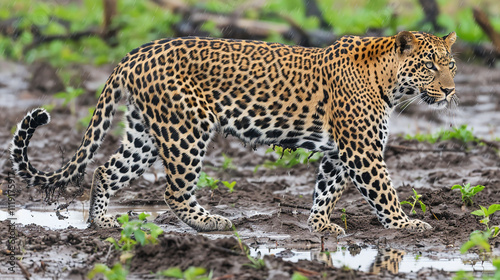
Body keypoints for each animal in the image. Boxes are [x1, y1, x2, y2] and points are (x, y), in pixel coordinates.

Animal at [10, 30, 458, 234]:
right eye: (429, 65)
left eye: (451, 63)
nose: (452, 90)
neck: (390, 81)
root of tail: (134, 54)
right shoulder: (362, 150)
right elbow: (384, 191)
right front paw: (407, 224)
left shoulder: (338, 151)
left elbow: (326, 189)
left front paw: (319, 226)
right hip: (187, 127)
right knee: (174, 190)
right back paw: (209, 222)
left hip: (144, 133)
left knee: (106, 169)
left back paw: (101, 221)